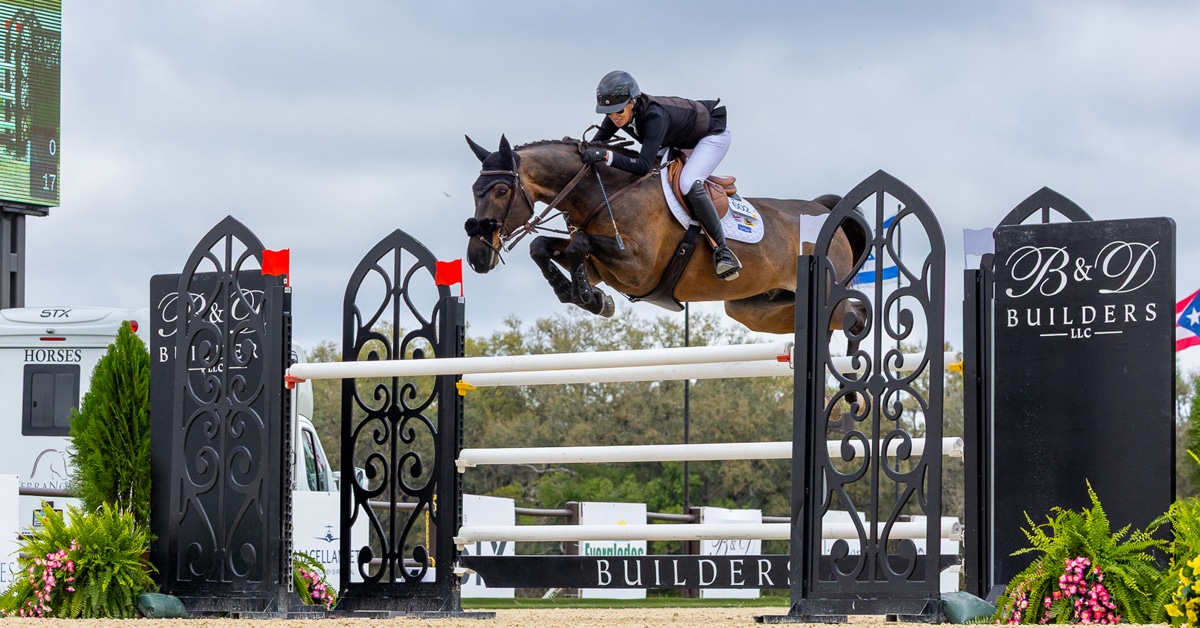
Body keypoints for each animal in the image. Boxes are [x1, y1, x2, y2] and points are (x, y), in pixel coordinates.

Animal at [463, 135, 868, 337]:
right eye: (473, 190)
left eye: (501, 190)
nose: (477, 258)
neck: (604, 192)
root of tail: (822, 209)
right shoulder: (601, 267)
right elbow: (541, 246)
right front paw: (587, 298)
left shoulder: (637, 268)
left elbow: (577, 245)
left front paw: (589, 298)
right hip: (753, 307)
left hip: (823, 291)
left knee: (848, 314)